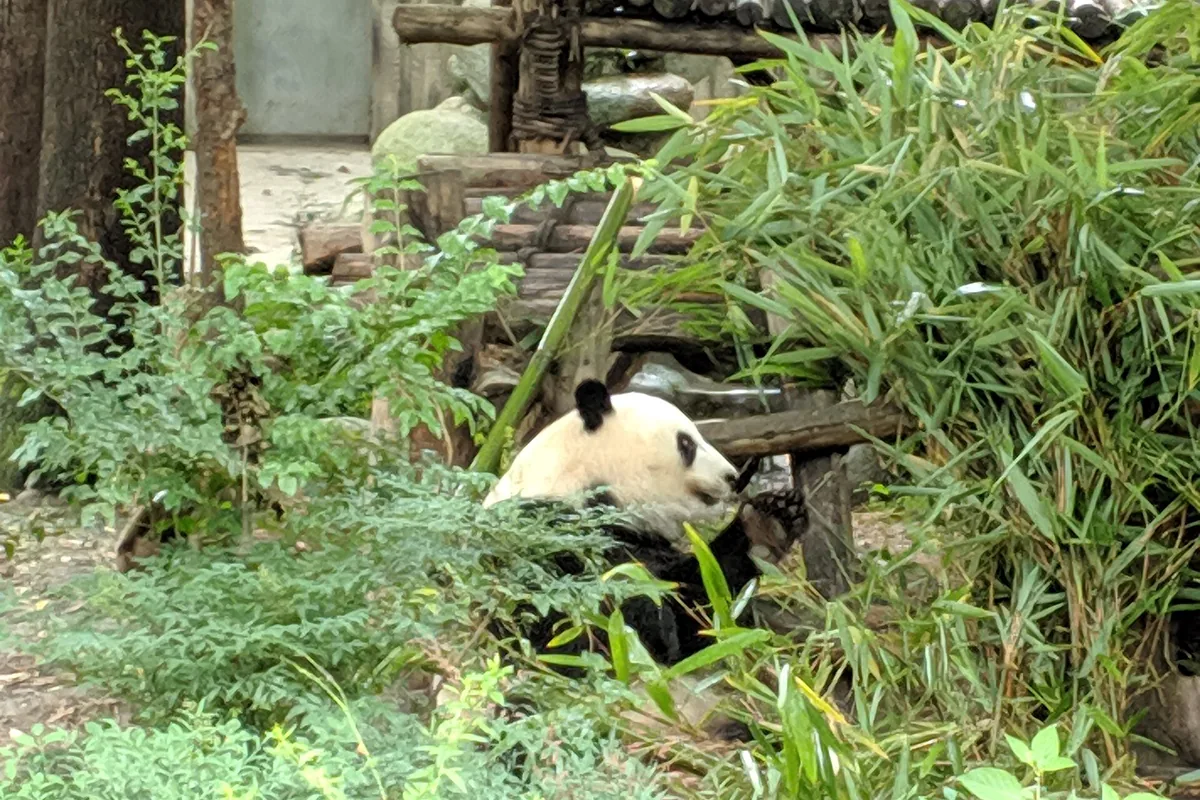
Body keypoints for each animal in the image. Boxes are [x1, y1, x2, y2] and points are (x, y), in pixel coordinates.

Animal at [478, 378, 798, 738]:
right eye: (686, 444)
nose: (732, 477)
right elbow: (586, 634)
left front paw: (769, 521)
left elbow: (700, 620)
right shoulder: (543, 535)